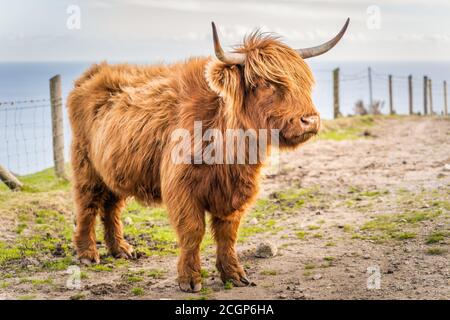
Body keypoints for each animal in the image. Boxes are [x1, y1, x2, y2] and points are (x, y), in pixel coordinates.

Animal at [67, 18, 350, 292]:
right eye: (265, 84)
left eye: (303, 82)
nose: (310, 120)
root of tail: (96, 72)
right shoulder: (182, 189)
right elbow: (192, 231)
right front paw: (189, 279)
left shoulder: (234, 191)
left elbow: (228, 233)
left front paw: (233, 274)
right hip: (86, 165)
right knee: (87, 205)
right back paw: (88, 254)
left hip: (115, 168)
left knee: (112, 206)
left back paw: (121, 249)